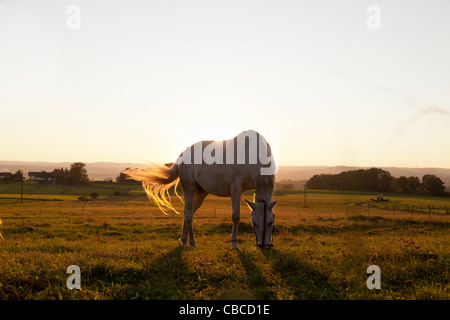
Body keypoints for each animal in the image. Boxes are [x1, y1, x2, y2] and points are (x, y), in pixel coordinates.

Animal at [125, 130, 276, 250]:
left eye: (271, 222)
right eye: (253, 222)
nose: (263, 245)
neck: (252, 153)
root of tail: (182, 156)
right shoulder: (236, 189)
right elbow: (236, 216)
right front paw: (234, 243)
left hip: (202, 192)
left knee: (189, 213)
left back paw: (184, 240)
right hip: (189, 190)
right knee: (188, 213)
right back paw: (191, 241)